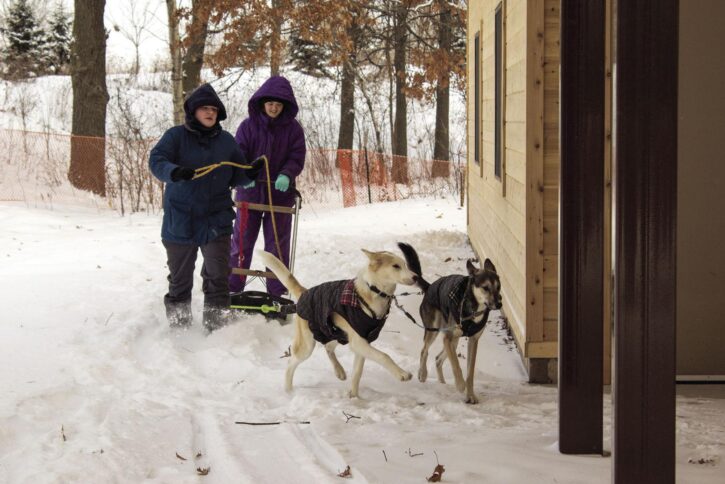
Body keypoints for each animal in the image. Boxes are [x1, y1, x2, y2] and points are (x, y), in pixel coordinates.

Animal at [258, 248, 418, 398]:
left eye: (405, 264)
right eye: (396, 266)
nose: (416, 277)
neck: (374, 293)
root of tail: (305, 292)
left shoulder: (363, 342)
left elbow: (357, 373)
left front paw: (354, 398)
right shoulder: (358, 343)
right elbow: (384, 356)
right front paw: (402, 374)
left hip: (335, 333)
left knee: (328, 348)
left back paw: (339, 371)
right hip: (307, 345)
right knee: (291, 363)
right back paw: (288, 391)